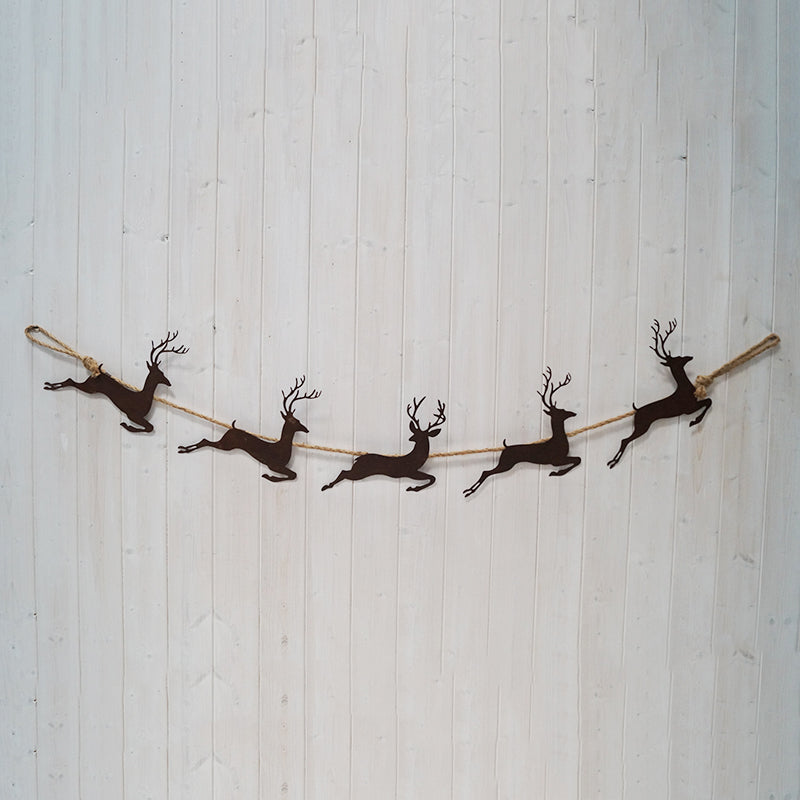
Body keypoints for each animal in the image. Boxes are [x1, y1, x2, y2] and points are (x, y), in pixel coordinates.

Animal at [43, 331, 188, 433]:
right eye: (160, 373)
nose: (169, 383)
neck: (144, 396)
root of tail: (97, 373)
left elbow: (150, 427)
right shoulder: (132, 415)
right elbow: (150, 427)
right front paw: (125, 425)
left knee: (70, 381)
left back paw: (48, 385)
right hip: (90, 389)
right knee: (70, 381)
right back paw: (49, 387)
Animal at [178, 376, 321, 482]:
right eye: (295, 421)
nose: (306, 429)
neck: (282, 446)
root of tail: (232, 428)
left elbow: (293, 474)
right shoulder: (273, 465)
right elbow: (293, 475)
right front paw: (268, 476)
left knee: (205, 440)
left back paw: (182, 448)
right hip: (226, 445)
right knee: (205, 441)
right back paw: (183, 450)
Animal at [463, 368, 581, 497]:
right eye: (561, 411)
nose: (573, 413)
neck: (558, 440)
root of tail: (506, 447)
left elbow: (577, 459)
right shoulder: (555, 460)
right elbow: (578, 459)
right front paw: (556, 473)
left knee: (486, 472)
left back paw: (467, 491)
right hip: (506, 463)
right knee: (486, 472)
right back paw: (468, 492)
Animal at [607, 318, 712, 468]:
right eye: (678, 358)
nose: (689, 356)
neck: (685, 388)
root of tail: (636, 410)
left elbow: (708, 402)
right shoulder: (688, 409)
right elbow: (708, 402)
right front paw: (694, 421)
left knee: (624, 440)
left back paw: (611, 462)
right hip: (642, 426)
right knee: (624, 440)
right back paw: (612, 462)